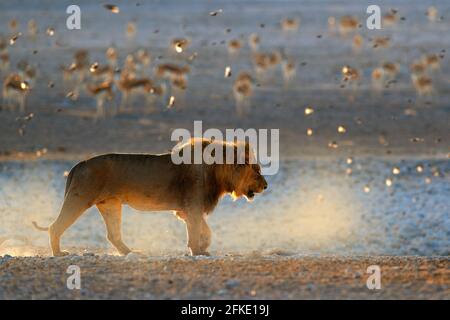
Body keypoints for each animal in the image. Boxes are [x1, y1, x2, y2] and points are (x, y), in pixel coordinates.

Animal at [34, 139, 268, 256]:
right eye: (256, 170)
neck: (217, 170)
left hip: (111, 205)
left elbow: (205, 230)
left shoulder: (186, 210)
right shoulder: (192, 207)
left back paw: (131, 252)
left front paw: (202, 247)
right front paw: (197, 251)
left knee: (113, 235)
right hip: (79, 198)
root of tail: (79, 163)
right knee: (55, 227)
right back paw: (59, 253)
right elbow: (196, 230)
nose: (266, 185)